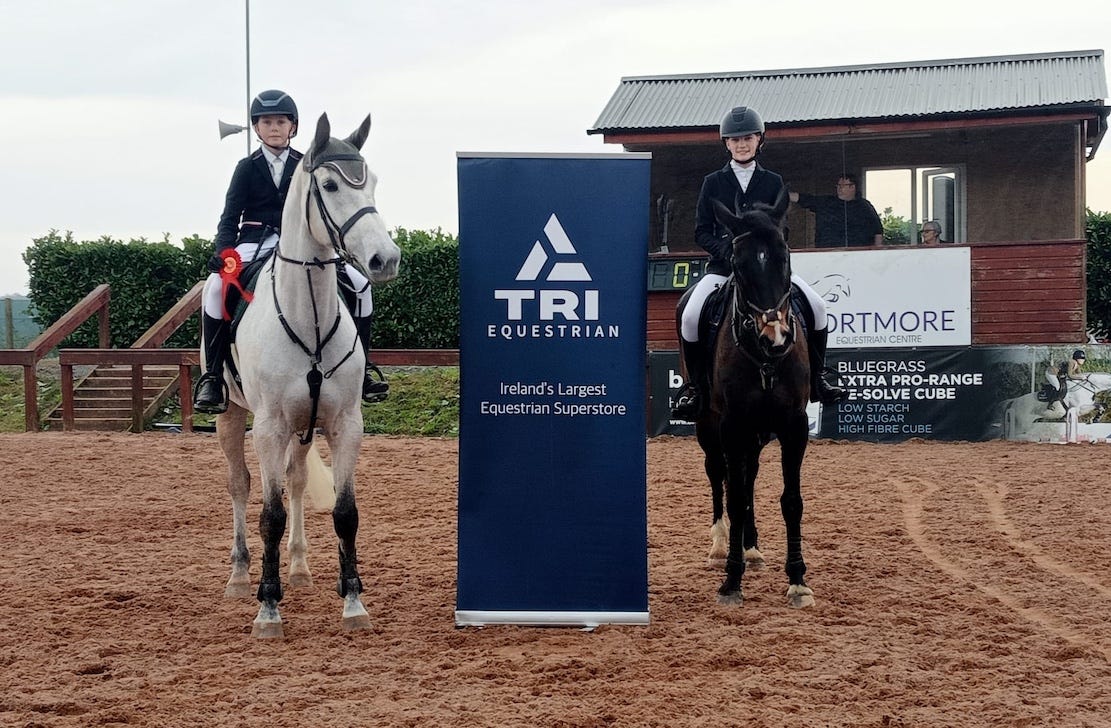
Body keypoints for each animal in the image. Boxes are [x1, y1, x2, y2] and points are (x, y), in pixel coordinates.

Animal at [209, 112, 401, 638]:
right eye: (330, 185)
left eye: (373, 182)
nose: (385, 260)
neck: (307, 315)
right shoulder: (269, 428)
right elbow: (269, 515)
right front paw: (267, 608)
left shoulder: (344, 424)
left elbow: (344, 512)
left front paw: (353, 602)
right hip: (232, 417)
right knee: (240, 485)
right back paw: (240, 577)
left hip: (304, 425)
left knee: (295, 483)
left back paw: (298, 568)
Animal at [676, 190, 815, 609]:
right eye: (738, 263)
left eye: (785, 255)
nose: (776, 338)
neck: (763, 357)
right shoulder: (732, 424)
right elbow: (735, 498)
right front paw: (730, 581)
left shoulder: (793, 425)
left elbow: (791, 500)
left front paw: (798, 581)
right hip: (710, 427)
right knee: (718, 475)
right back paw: (722, 546)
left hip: (757, 433)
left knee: (748, 477)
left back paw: (751, 549)